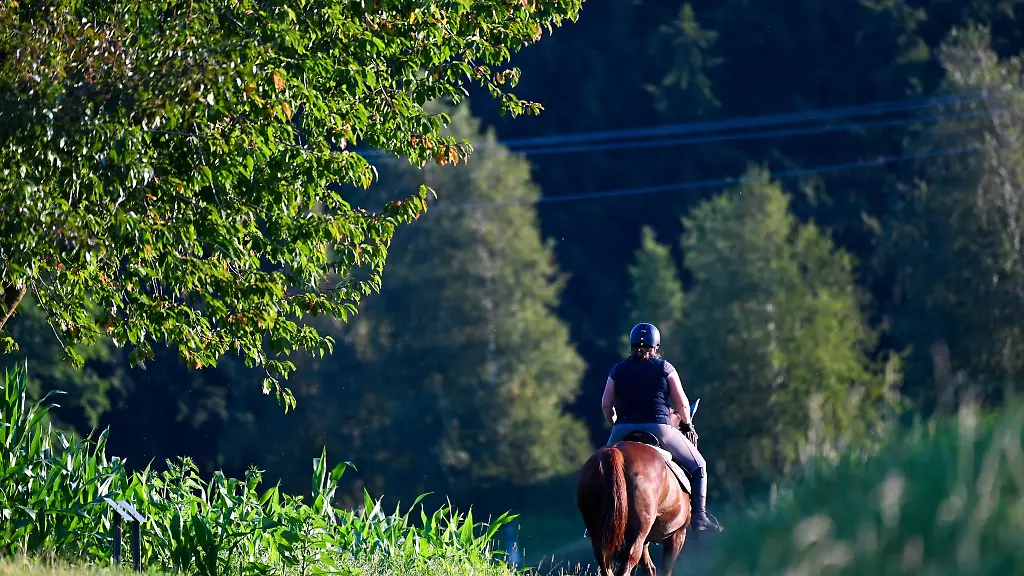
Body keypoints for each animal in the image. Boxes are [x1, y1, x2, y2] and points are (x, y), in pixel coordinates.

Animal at [576, 408, 693, 576]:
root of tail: (615, 451)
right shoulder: (677, 534)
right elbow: (664, 569)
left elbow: (649, 568)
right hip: (638, 531)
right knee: (628, 562)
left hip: (600, 533)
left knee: (605, 563)